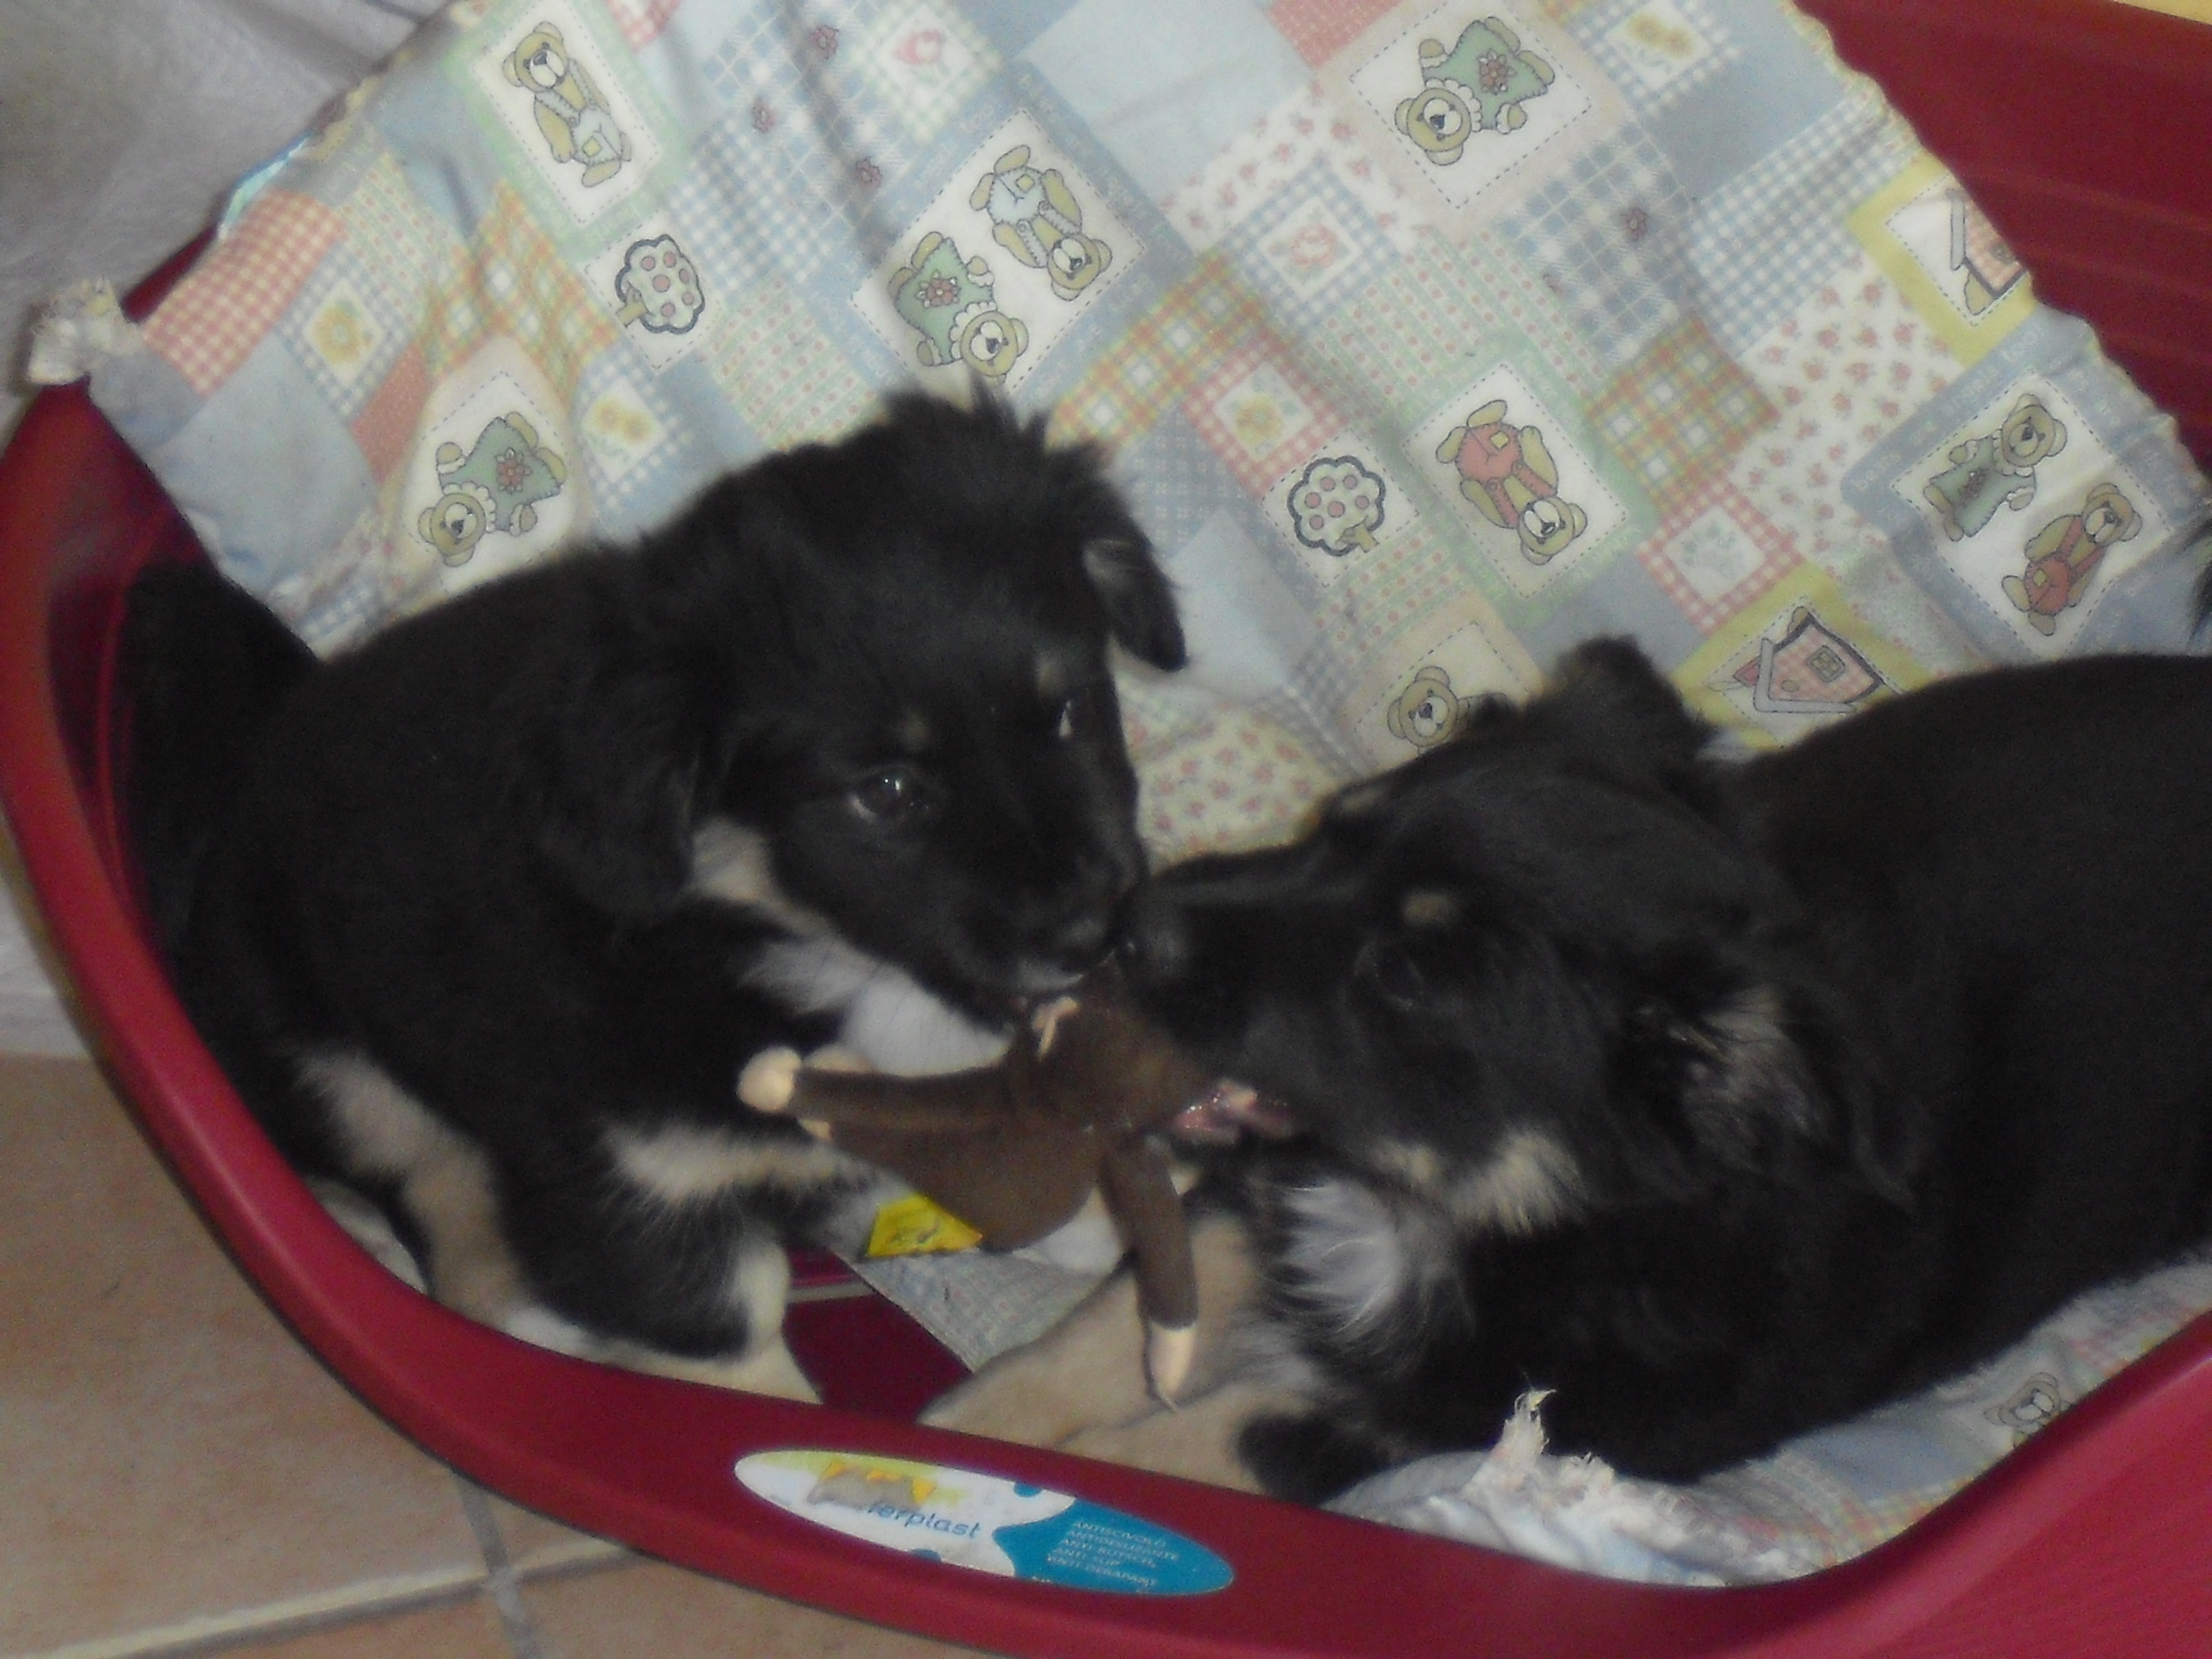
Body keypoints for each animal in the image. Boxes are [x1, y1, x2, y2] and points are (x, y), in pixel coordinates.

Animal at [123, 393, 1184, 1397]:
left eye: (1070, 709)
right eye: (884, 792)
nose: (1095, 933)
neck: (779, 948)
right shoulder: (632, 1195)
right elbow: (741, 1356)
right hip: (340, 1071)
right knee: (439, 1205)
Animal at [927, 637, 2212, 1501]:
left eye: (1405, 973)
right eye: (1330, 828)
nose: (1126, 929)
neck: (1489, 1213)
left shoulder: (1474, 1418)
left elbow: (1216, 1435)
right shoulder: (1266, 1195)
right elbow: (1087, 1338)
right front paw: (947, 1440)